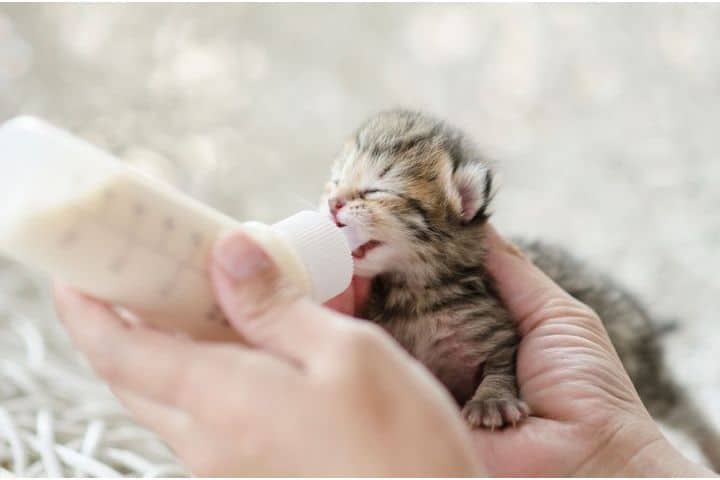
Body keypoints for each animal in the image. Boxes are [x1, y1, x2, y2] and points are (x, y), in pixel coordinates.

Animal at [320, 108, 720, 468]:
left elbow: (502, 365)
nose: (332, 203)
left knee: (681, 402)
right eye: (335, 181)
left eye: (376, 189)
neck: (414, 294)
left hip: (640, 366)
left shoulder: (498, 330)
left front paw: (492, 401)